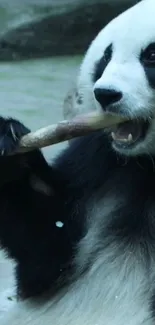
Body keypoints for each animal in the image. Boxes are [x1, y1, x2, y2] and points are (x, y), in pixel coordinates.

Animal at [0, 0, 155, 322]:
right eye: (105, 57)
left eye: (152, 55)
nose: (105, 94)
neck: (149, 161)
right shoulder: (101, 160)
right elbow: (47, 256)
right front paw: (12, 150)